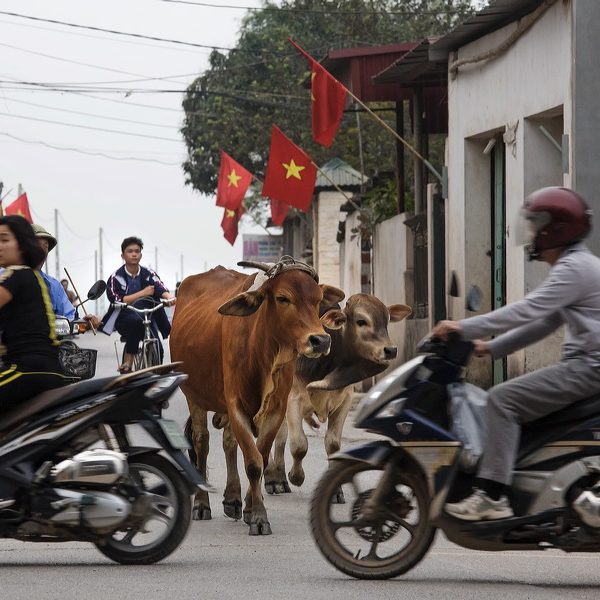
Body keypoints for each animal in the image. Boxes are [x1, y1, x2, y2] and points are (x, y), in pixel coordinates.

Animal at [171, 258, 344, 536]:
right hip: (194, 396)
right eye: (283, 298)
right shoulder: (236, 405)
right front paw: (260, 518)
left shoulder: (276, 408)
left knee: (229, 443)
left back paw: (232, 499)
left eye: (318, 300)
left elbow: (260, 457)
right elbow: (252, 463)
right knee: (202, 443)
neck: (262, 349)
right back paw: (201, 504)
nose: (320, 340)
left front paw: (252, 509)